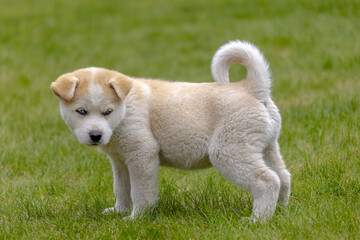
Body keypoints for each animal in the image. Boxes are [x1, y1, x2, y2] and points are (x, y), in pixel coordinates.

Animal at [52, 40, 292, 222]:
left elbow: (140, 191)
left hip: (230, 152)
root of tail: (251, 88)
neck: (125, 108)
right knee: (283, 177)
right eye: (81, 111)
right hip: (266, 148)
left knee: (267, 181)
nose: (96, 136)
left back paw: (257, 220)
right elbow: (121, 188)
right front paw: (118, 211)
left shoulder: (142, 154)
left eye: (107, 112)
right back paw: (280, 211)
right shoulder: (120, 161)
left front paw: (136, 218)